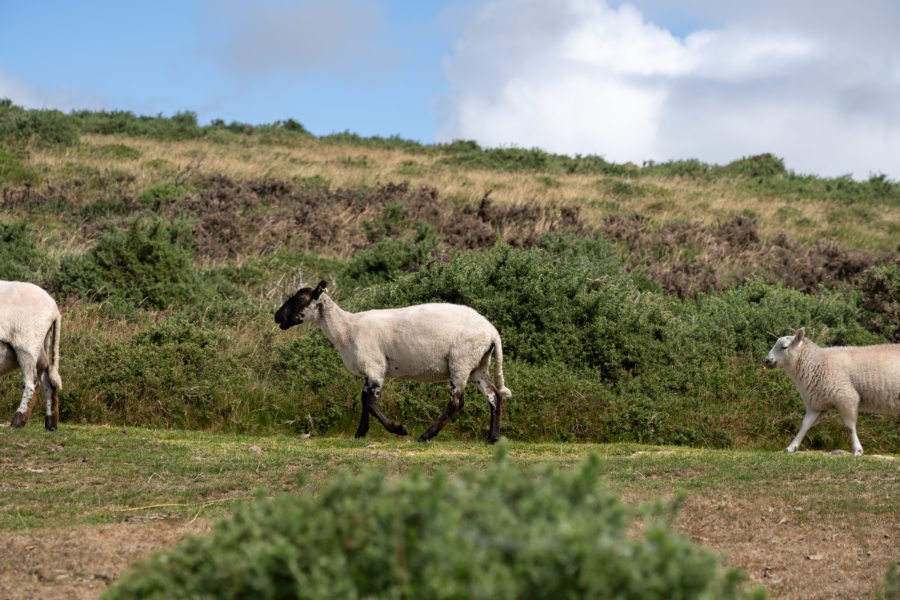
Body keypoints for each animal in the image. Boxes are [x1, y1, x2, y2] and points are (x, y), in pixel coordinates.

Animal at [0, 281, 62, 430]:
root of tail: (55, 309)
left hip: (26, 344)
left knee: (32, 383)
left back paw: (17, 422)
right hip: (40, 345)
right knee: (47, 380)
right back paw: (51, 424)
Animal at [275, 281, 512, 444]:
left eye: (299, 300)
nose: (277, 317)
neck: (345, 329)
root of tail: (492, 331)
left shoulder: (375, 367)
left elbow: (370, 403)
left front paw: (399, 429)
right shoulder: (370, 371)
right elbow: (364, 400)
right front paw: (360, 433)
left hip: (461, 361)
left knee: (456, 402)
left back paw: (425, 436)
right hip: (478, 364)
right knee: (494, 396)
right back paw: (492, 439)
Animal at [765, 327, 900, 455]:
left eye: (784, 347)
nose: (767, 360)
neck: (818, 363)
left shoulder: (847, 397)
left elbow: (850, 427)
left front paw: (857, 450)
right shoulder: (817, 404)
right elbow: (804, 425)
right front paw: (791, 447)